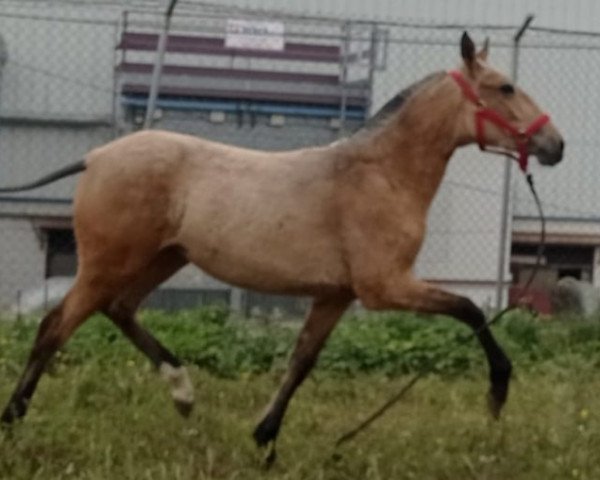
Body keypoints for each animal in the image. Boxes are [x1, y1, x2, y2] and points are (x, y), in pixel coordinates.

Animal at [0, 33, 564, 454]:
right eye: (506, 87)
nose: (554, 145)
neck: (380, 175)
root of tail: (97, 156)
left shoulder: (335, 295)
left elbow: (301, 361)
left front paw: (264, 438)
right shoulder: (385, 286)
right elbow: (470, 309)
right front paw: (497, 391)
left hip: (162, 259)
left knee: (119, 309)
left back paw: (183, 393)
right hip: (108, 263)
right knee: (54, 328)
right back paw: (13, 420)